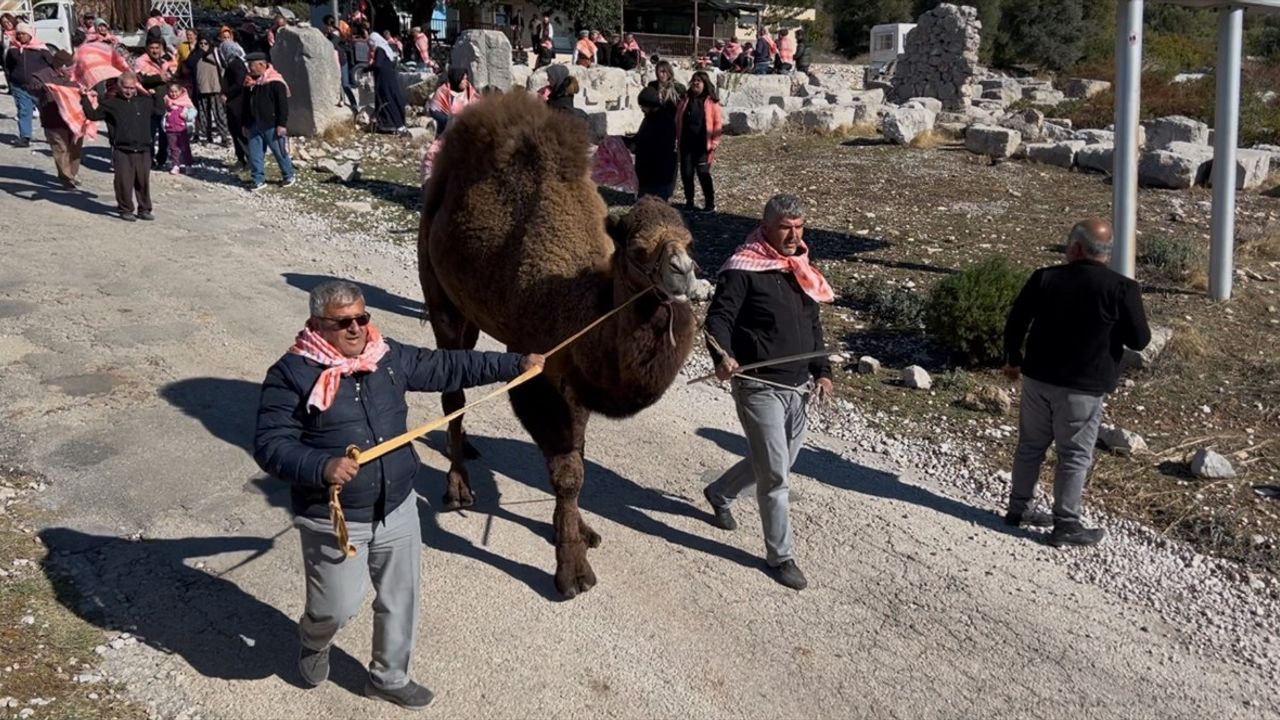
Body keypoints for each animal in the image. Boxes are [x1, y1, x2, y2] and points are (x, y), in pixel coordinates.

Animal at [419, 89, 701, 594]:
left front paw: (580, 530)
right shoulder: (539, 373)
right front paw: (571, 570)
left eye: (689, 242)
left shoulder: (576, 380)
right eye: (637, 249)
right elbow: (568, 471)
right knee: (452, 390)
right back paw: (458, 488)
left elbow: (580, 453)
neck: (582, 309)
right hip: (441, 296)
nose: (682, 273)